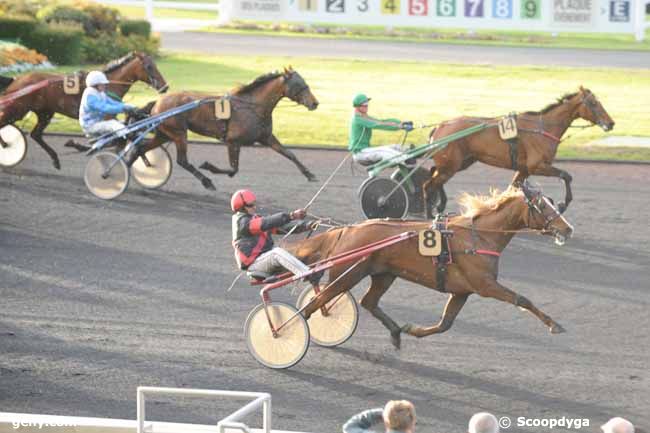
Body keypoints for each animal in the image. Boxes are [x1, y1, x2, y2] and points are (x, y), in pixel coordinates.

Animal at [0, 51, 167, 170]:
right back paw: (6, 145)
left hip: (45, 112)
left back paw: (55, 159)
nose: (165, 87)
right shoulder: (106, 117)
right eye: (149, 67)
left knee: (36, 134)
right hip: (18, 109)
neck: (107, 85)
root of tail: (16, 80)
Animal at [130, 67, 318, 189]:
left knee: (141, 148)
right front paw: (208, 166)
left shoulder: (266, 137)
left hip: (165, 134)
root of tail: (158, 102)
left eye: (305, 83)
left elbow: (290, 154)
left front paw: (310, 174)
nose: (315, 103)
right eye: (300, 84)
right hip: (178, 133)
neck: (252, 107)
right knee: (182, 160)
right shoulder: (233, 142)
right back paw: (207, 181)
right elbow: (234, 169)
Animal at [284, 181, 572, 348]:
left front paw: (412, 330)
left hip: (384, 274)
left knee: (368, 301)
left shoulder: (462, 290)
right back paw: (288, 332)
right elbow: (523, 299)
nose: (567, 229)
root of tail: (346, 229)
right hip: (346, 275)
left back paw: (396, 332)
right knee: (315, 304)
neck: (478, 235)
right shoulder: (484, 285)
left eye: (553, 202)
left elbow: (445, 324)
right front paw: (554, 325)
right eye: (542, 206)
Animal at [420, 87, 612, 216]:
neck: (542, 129)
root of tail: (440, 126)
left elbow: (512, 188)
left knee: (434, 173)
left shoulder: (524, 169)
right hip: (451, 164)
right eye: (593, 103)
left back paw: (440, 205)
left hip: (460, 162)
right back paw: (430, 214)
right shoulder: (536, 166)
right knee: (428, 185)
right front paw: (563, 204)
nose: (611, 123)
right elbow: (566, 175)